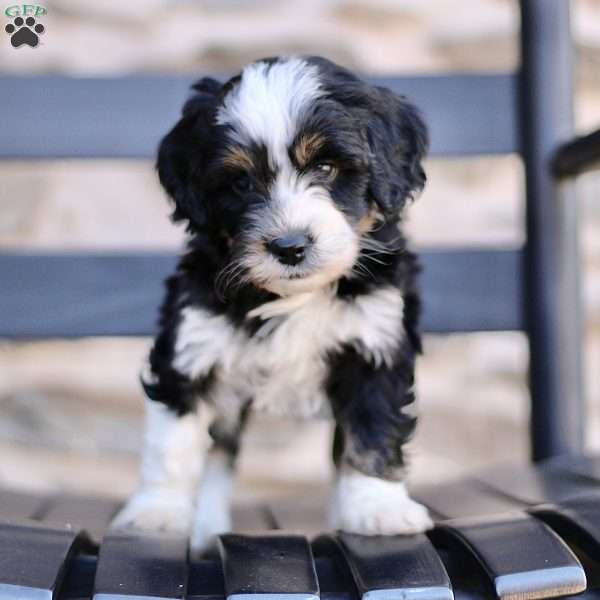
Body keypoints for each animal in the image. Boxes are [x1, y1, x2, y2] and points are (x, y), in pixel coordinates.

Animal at [111, 55, 432, 552]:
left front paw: (378, 508)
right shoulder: (189, 348)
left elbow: (374, 430)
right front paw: (158, 514)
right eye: (241, 181)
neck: (294, 296)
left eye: (326, 167)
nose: (290, 246)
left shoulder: (376, 342)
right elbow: (174, 443)